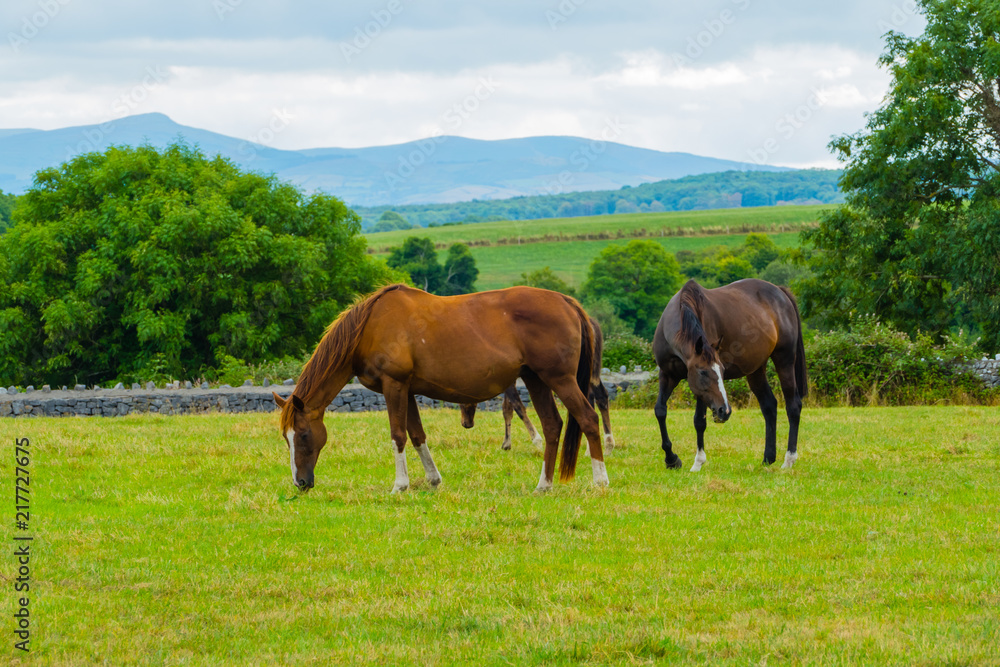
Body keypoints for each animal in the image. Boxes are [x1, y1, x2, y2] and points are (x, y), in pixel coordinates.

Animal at [270, 284, 608, 494]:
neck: (369, 327)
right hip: (536, 379)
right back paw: (544, 485)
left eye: (302, 435)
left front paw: (400, 485)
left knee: (588, 419)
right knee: (552, 426)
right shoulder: (406, 390)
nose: (301, 483)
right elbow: (417, 435)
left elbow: (398, 435)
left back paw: (600, 480)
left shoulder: (394, 386)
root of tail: (567, 302)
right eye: (286, 439)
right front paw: (433, 480)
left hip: (559, 379)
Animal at [652, 280, 808, 472]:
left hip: (784, 360)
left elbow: (699, 421)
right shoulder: (667, 374)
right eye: (703, 372)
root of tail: (780, 292)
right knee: (769, 406)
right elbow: (660, 411)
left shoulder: (700, 391)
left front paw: (698, 462)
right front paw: (672, 459)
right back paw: (767, 458)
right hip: (756, 370)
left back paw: (789, 459)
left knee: (793, 405)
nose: (724, 411)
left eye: (723, 370)